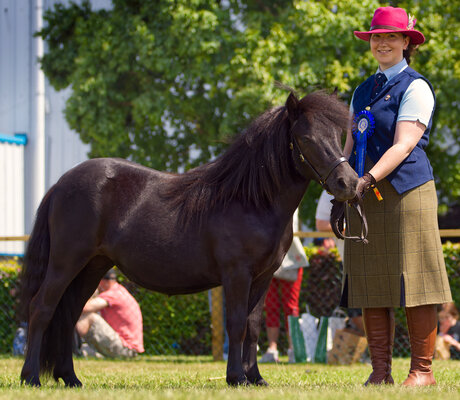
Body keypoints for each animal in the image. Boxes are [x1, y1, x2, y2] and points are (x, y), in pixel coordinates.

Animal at [20, 90, 360, 388]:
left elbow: (253, 327)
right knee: (42, 309)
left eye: (337, 137)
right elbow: (236, 325)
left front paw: (255, 378)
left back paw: (70, 378)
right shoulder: (237, 275)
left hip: (92, 267)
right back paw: (31, 377)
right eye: (306, 139)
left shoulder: (263, 278)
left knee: (68, 316)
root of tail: (61, 184)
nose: (349, 183)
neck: (250, 200)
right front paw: (236, 377)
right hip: (66, 263)